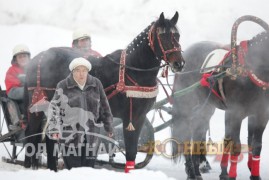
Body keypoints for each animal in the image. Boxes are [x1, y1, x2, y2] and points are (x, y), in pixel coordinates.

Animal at [24, 11, 184, 171]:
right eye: (162, 36)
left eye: (177, 36)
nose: (179, 63)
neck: (132, 72)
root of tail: (38, 58)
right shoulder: (129, 117)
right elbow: (130, 149)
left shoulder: (139, 117)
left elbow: (132, 154)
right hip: (38, 106)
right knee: (32, 135)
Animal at [171, 30, 268, 179]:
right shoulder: (234, 113)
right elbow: (235, 144)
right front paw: (230, 175)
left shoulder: (261, 114)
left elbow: (256, 145)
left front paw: (254, 175)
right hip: (187, 105)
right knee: (186, 133)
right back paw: (192, 171)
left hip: (205, 108)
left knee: (198, 132)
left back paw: (197, 169)